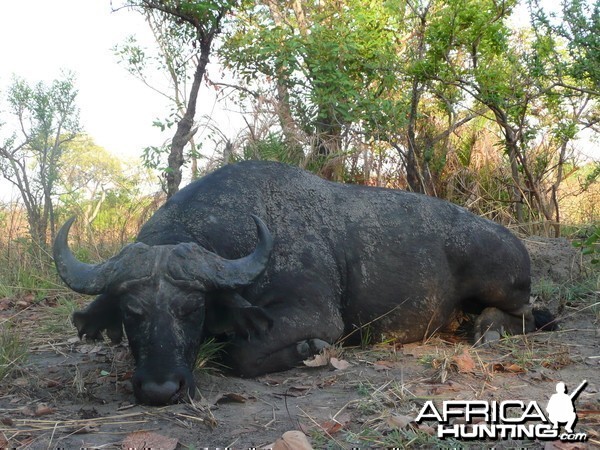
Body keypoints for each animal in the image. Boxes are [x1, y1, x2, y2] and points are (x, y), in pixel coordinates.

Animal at [52, 161, 552, 404]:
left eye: (191, 309)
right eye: (131, 313)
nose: (159, 390)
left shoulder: (315, 316)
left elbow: (239, 354)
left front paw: (310, 350)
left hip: (501, 284)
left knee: (535, 314)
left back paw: (489, 329)